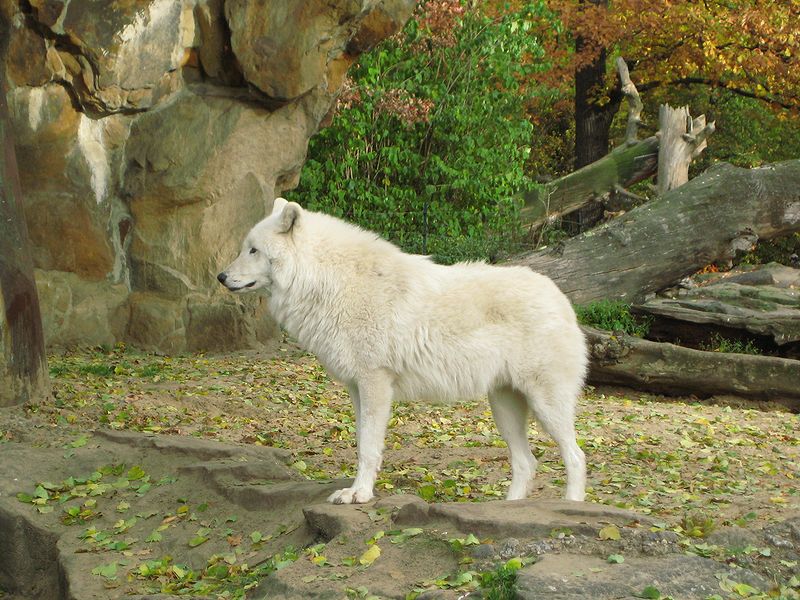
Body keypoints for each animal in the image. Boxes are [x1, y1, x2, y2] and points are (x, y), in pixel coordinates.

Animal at [218, 198, 588, 504]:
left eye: (253, 250)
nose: (221, 276)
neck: (330, 282)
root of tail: (562, 298)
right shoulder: (357, 389)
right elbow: (362, 443)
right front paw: (357, 490)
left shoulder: (375, 384)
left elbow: (368, 448)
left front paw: (359, 494)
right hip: (504, 407)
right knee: (527, 462)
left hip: (545, 404)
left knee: (576, 456)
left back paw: (571, 505)